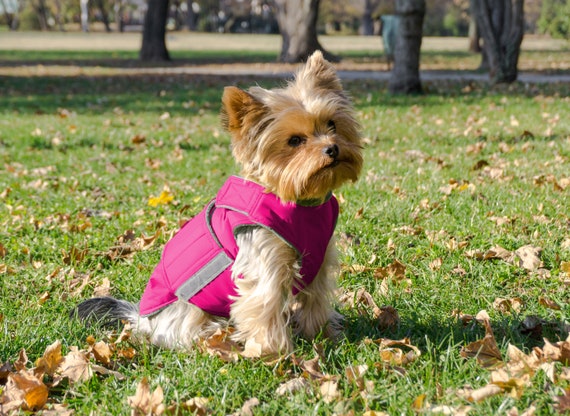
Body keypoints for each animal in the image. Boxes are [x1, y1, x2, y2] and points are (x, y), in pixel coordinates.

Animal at [73, 49, 362, 354]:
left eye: (331, 124)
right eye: (295, 140)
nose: (332, 148)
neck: (297, 202)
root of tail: (142, 321)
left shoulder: (319, 262)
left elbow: (314, 303)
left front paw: (323, 337)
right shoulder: (265, 262)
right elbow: (266, 308)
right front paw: (273, 354)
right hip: (194, 318)